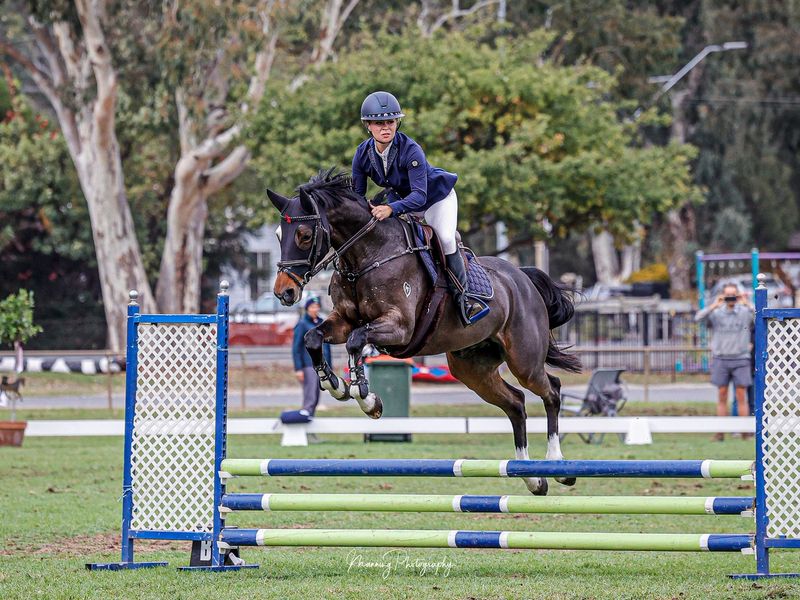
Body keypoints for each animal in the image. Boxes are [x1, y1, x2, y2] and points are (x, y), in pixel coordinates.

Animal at [267, 170, 581, 495]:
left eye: (304, 235)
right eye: (278, 235)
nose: (284, 292)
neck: (368, 254)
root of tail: (524, 279)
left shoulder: (399, 327)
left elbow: (356, 341)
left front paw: (365, 397)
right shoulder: (342, 320)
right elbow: (313, 338)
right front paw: (335, 384)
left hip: (524, 361)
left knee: (551, 390)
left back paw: (558, 467)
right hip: (472, 369)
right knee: (516, 403)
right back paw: (533, 478)